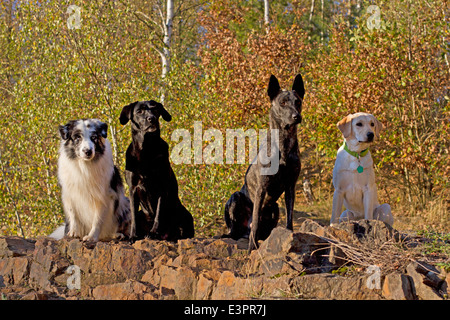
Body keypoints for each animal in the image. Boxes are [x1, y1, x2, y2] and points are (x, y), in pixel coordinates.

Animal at [120, 100, 194, 240]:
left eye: (155, 110)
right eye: (139, 111)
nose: (152, 118)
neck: (146, 150)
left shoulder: (162, 187)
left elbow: (159, 214)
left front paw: (154, 233)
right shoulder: (133, 189)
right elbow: (133, 217)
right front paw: (133, 236)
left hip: (185, 215)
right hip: (142, 213)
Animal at [223, 74, 304, 251]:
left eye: (298, 101)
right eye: (283, 102)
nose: (296, 117)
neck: (283, 144)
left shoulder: (290, 186)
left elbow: (290, 216)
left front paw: (289, 235)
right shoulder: (261, 188)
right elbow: (255, 221)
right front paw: (252, 248)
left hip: (275, 207)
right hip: (235, 197)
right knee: (238, 230)